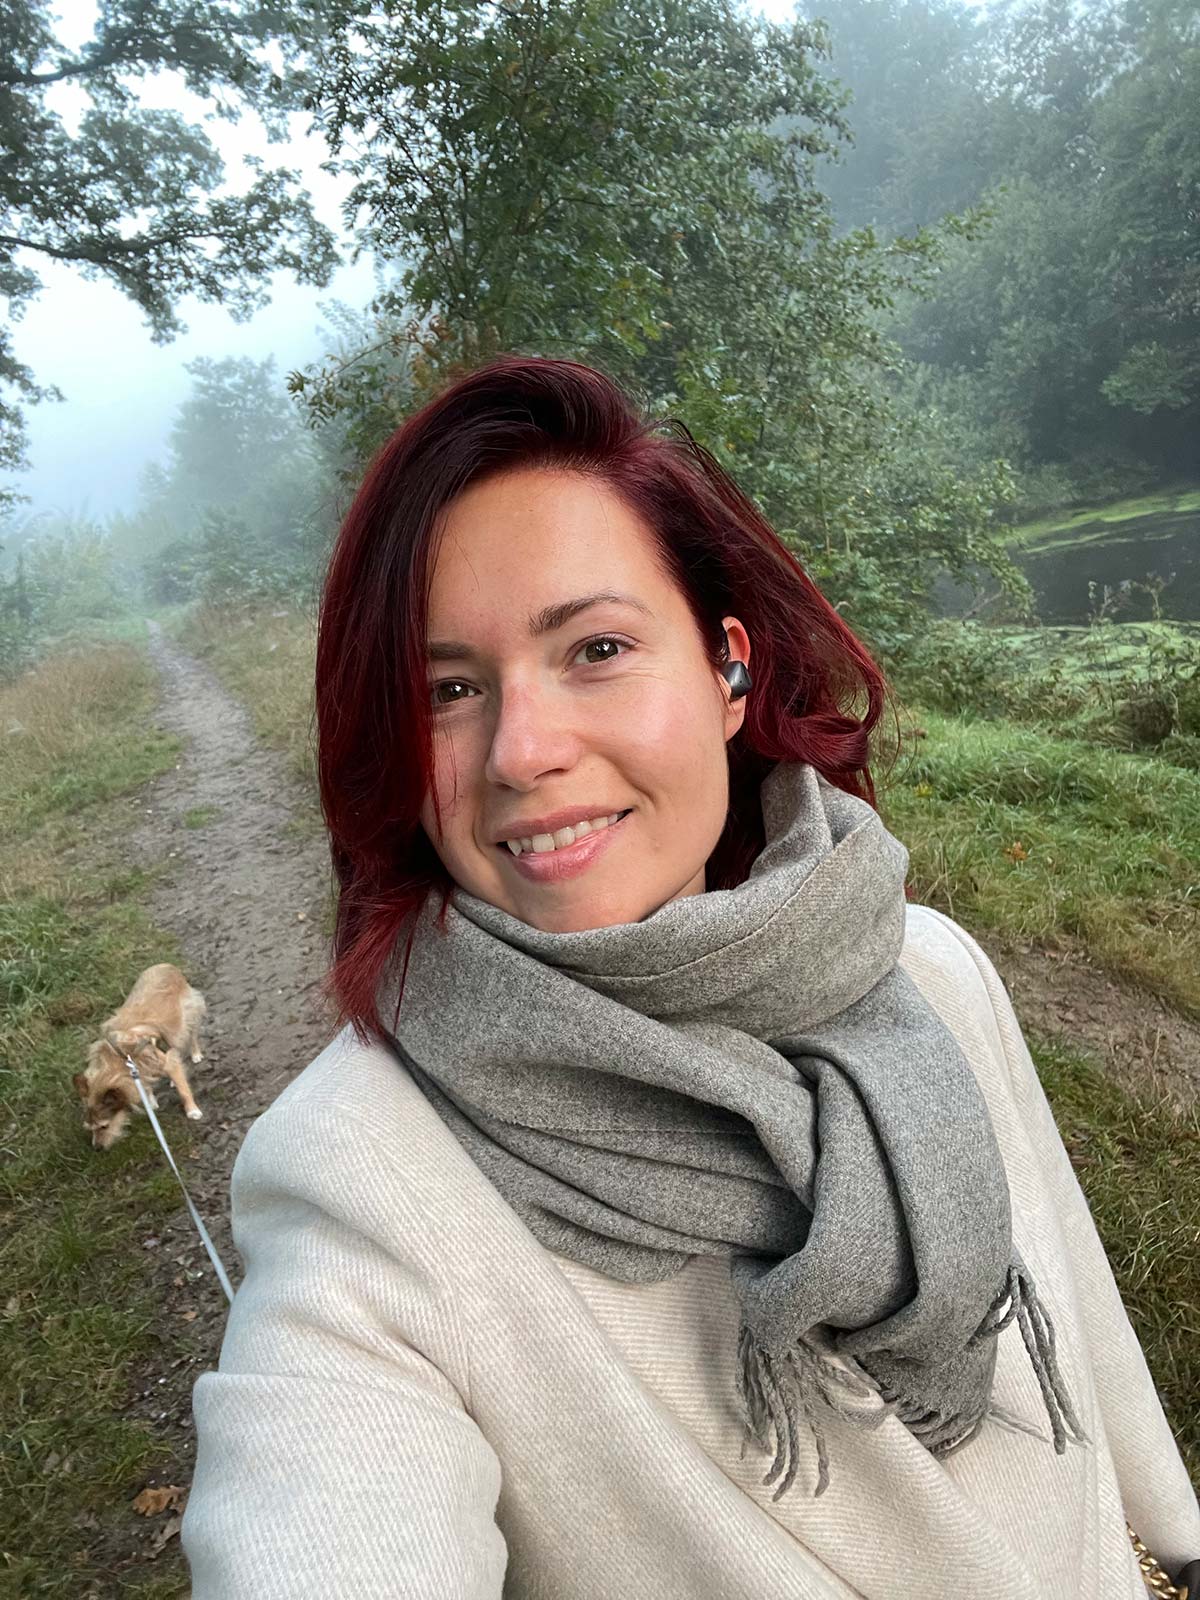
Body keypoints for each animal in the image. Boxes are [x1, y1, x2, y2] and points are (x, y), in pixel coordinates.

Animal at [74, 964, 208, 1150]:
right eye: (90, 1128)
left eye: (104, 1126)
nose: (97, 1149)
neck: (121, 1058)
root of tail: (165, 965)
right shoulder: (142, 1069)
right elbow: (147, 1084)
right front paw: (150, 1101)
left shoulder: (163, 1062)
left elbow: (183, 1090)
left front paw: (192, 1110)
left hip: (187, 1013)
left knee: (191, 1034)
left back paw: (195, 1054)